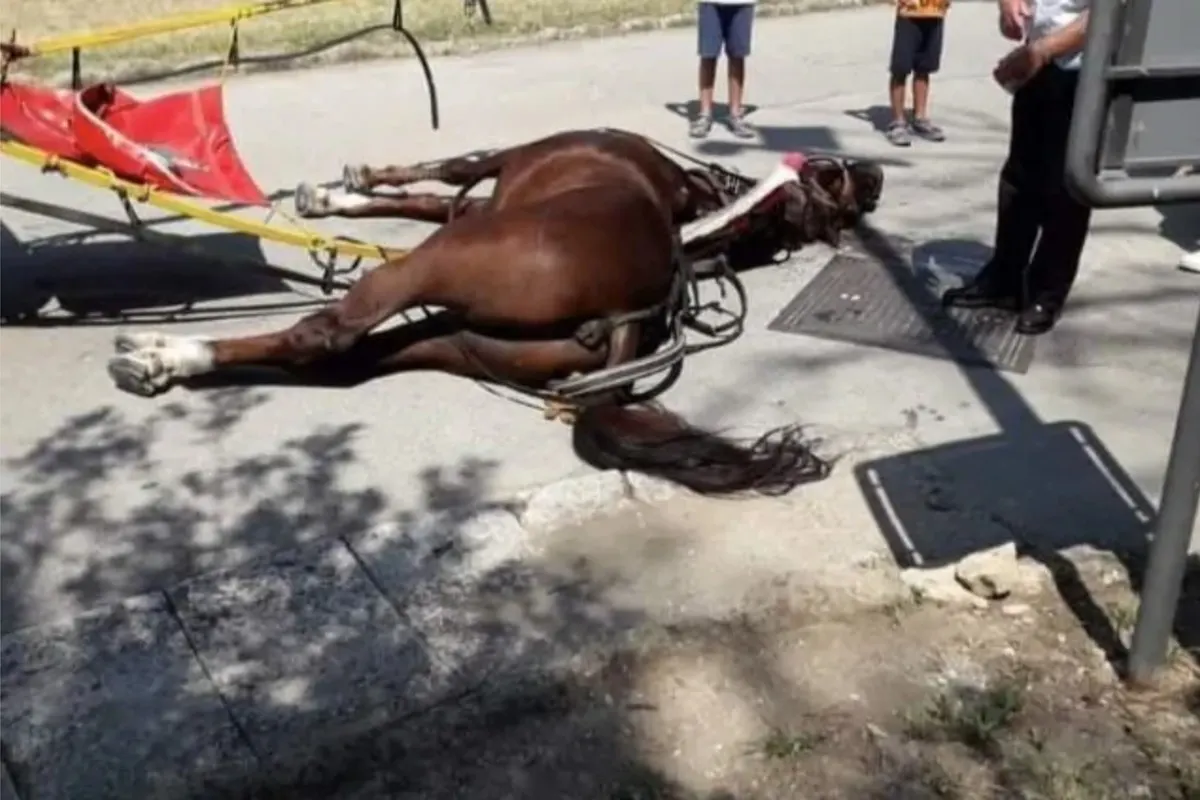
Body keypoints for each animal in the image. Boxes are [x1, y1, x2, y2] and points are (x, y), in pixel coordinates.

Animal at [108, 127, 884, 497]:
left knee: (325, 334)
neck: (695, 207)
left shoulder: (499, 171)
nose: (876, 174)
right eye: (838, 178)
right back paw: (170, 362)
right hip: (455, 339)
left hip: (433, 264)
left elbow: (446, 172)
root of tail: (625, 314)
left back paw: (164, 356)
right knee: (348, 362)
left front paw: (344, 189)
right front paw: (335, 198)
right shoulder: (487, 199)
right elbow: (424, 196)